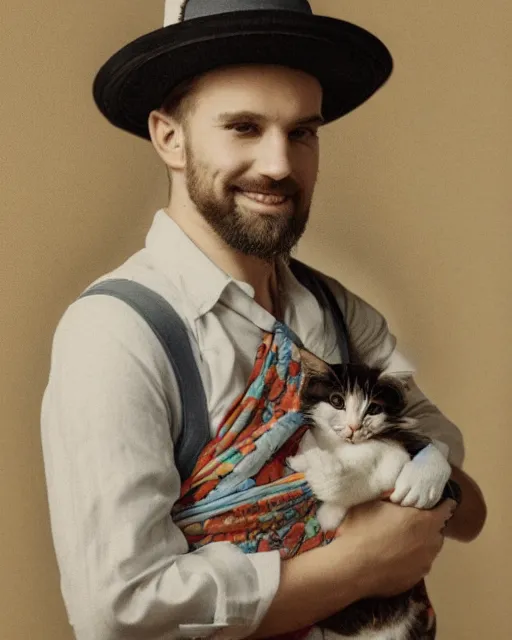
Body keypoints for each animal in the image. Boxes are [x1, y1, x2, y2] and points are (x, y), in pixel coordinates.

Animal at [290, 358, 454, 636]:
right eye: (337, 401)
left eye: (373, 409)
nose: (354, 427)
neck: (342, 446)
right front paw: (307, 462)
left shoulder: (395, 452)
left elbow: (377, 465)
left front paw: (325, 485)